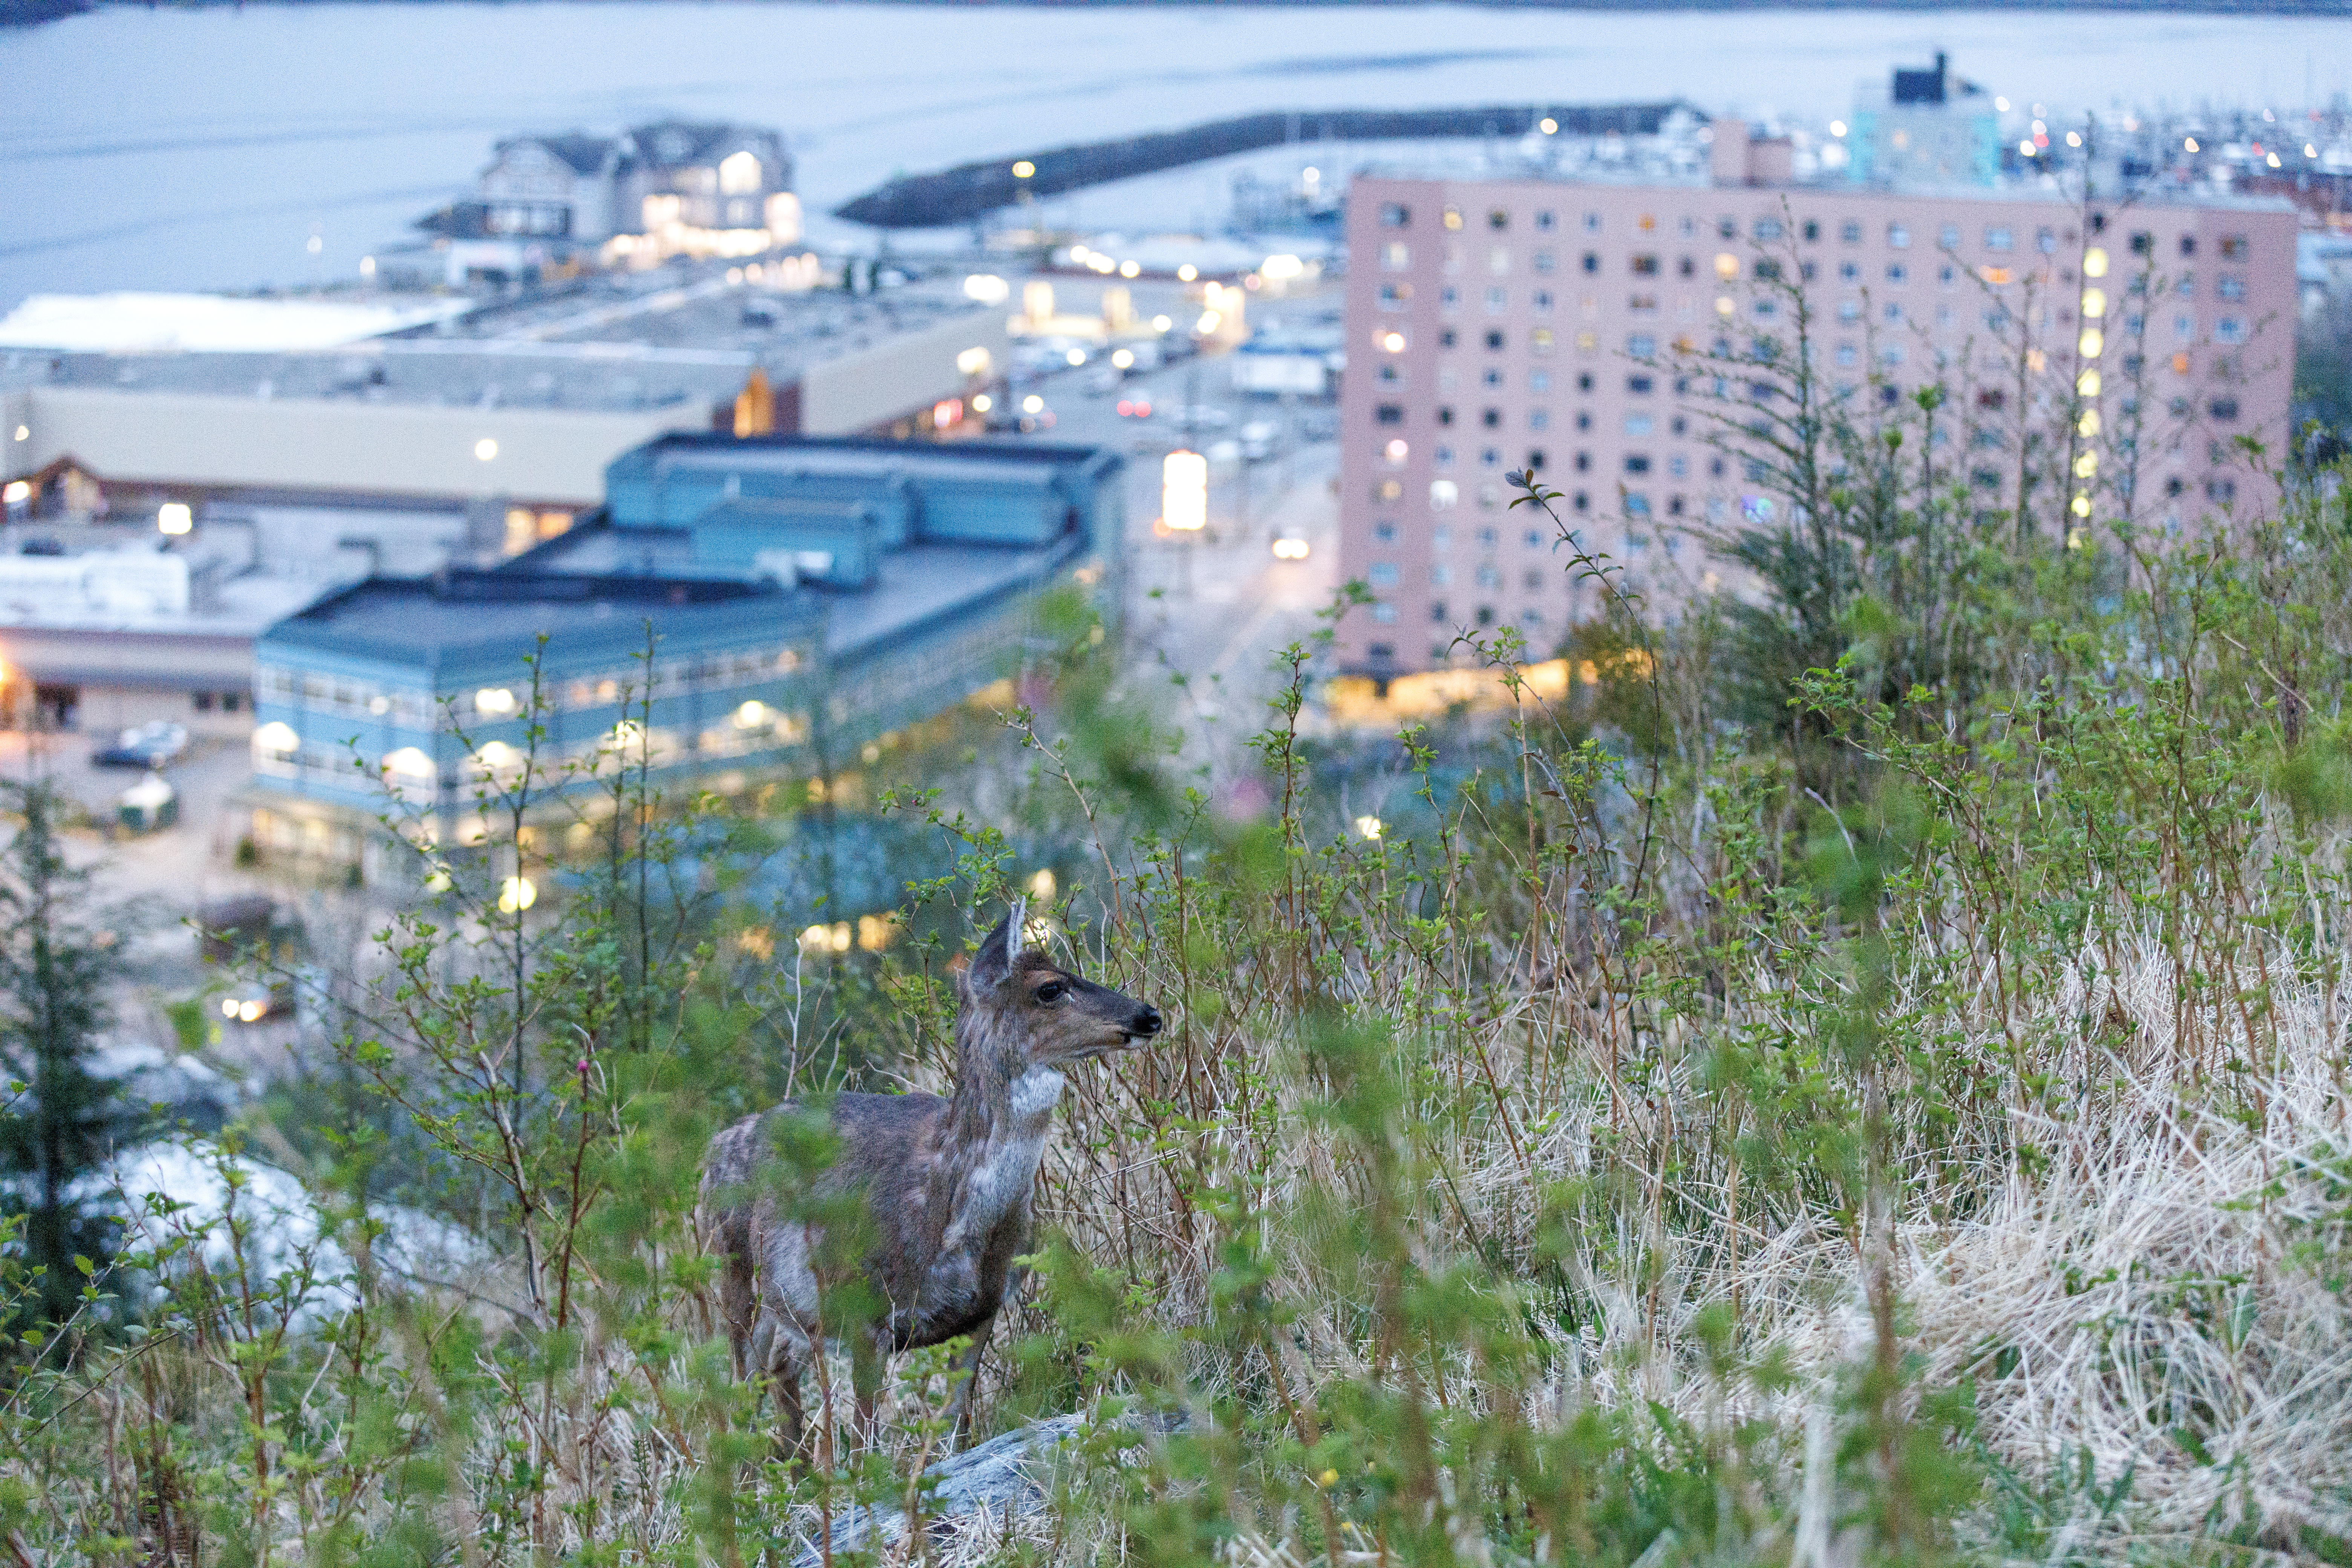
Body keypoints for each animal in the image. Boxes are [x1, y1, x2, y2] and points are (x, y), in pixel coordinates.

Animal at [699, 898, 1163, 1455]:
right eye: (1050, 988)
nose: (1149, 1014)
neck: (945, 1209)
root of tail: (715, 1147)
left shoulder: (983, 1310)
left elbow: (953, 1429)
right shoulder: (863, 1309)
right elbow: (865, 1440)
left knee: (778, 1370)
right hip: (733, 1274)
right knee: (742, 1386)